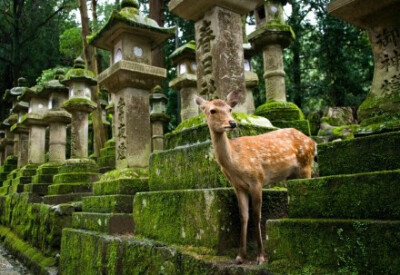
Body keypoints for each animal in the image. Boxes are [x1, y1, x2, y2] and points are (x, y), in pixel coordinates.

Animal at [195, 94, 318, 266]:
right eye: (212, 110)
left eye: (230, 109)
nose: (232, 123)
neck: (235, 162)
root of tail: (313, 142)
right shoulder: (238, 186)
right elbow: (243, 216)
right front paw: (240, 256)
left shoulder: (256, 180)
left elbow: (256, 215)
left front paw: (261, 257)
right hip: (292, 175)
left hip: (306, 165)